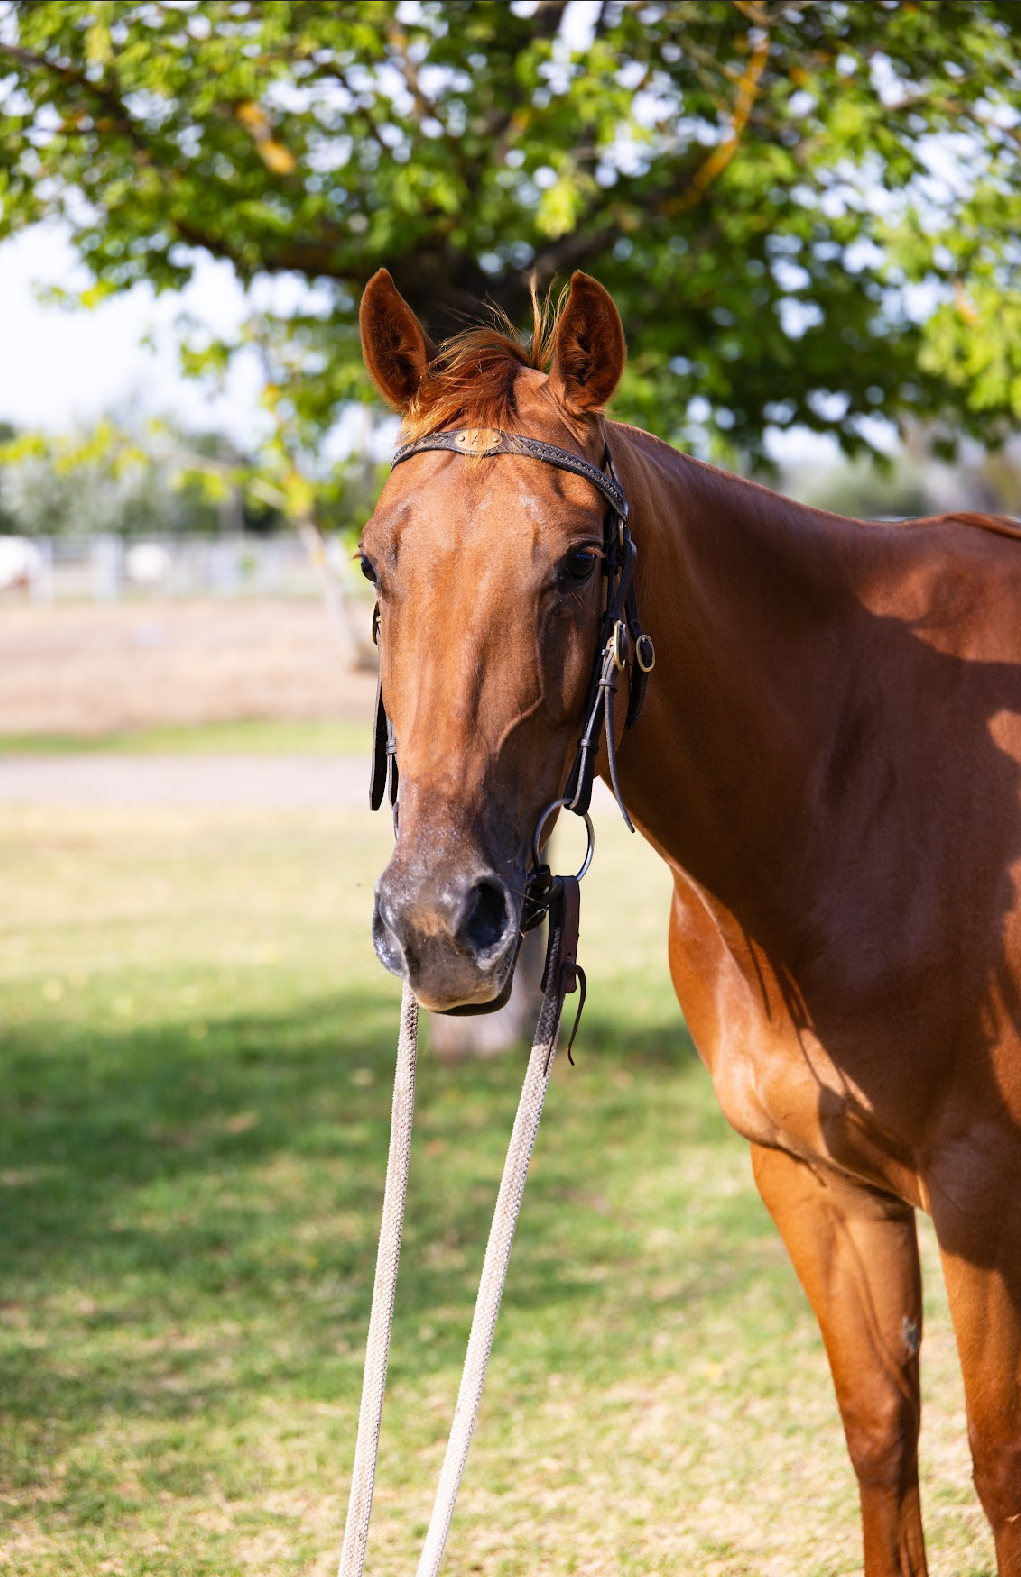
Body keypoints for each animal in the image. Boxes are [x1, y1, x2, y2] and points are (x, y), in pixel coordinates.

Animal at [357, 265, 1021, 1577]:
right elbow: (881, 1434)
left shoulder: (990, 1194)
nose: (440, 920)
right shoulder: (815, 1181)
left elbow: (1003, 1471)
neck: (847, 795)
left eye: (576, 561)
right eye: (373, 564)